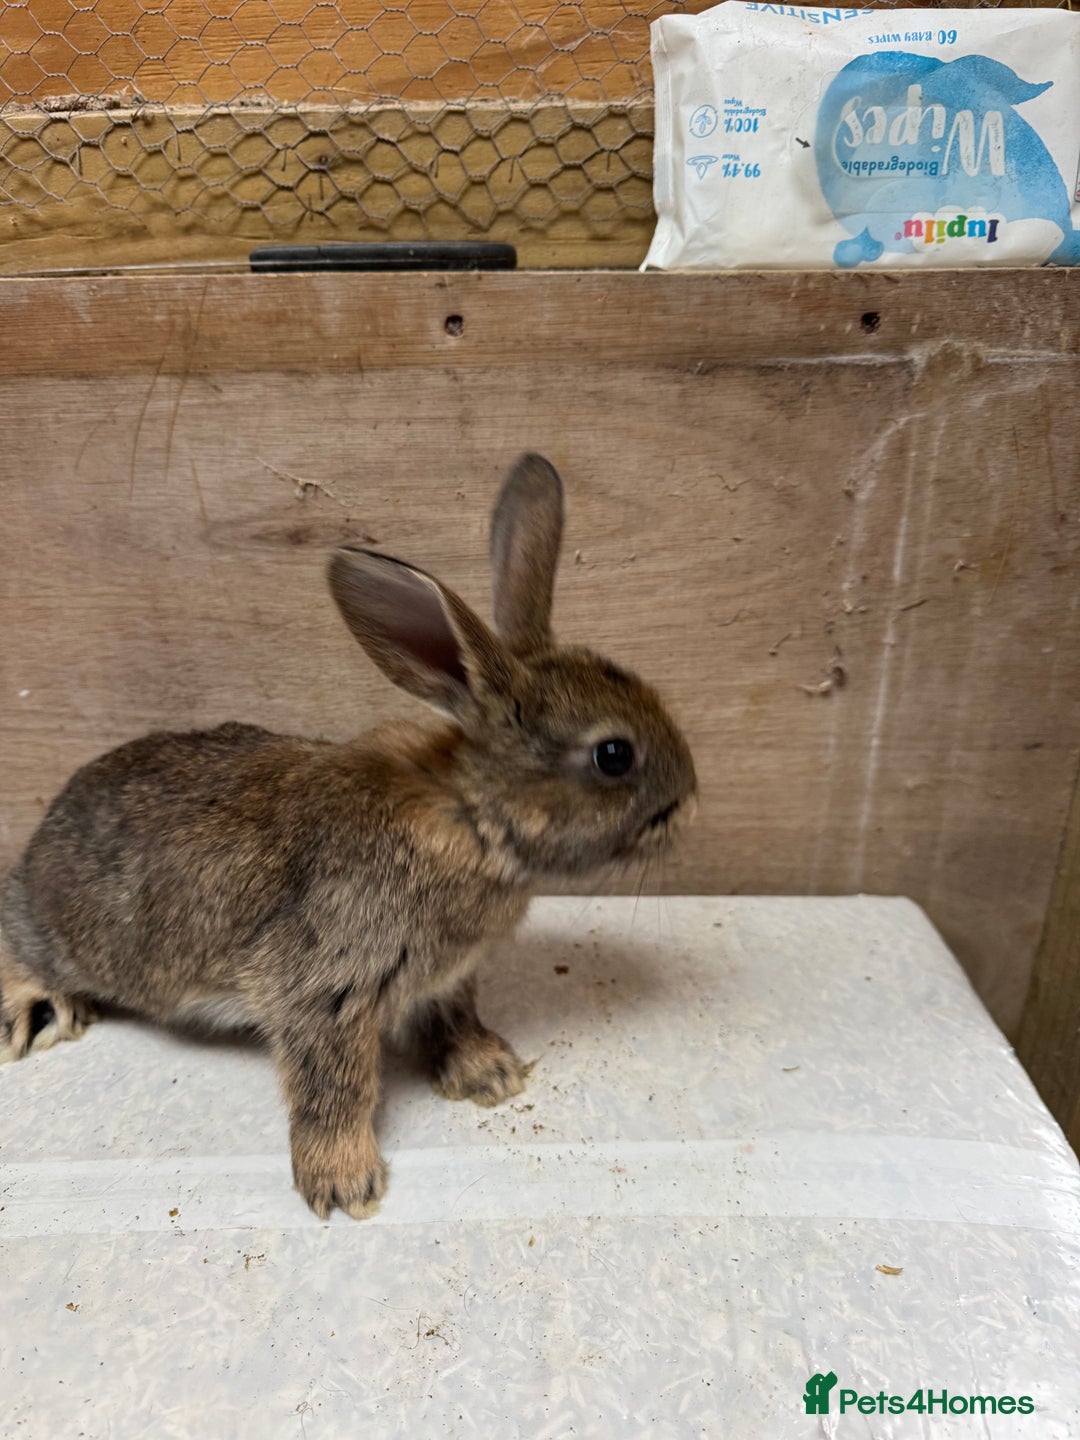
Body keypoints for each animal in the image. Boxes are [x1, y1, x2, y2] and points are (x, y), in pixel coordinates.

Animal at [0, 454, 697, 1220]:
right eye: (614, 755)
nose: (690, 800)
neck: (470, 812)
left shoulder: (444, 977)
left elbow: (454, 1017)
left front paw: (488, 1073)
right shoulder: (326, 987)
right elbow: (333, 1087)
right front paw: (344, 1184)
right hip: (55, 934)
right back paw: (37, 1011)